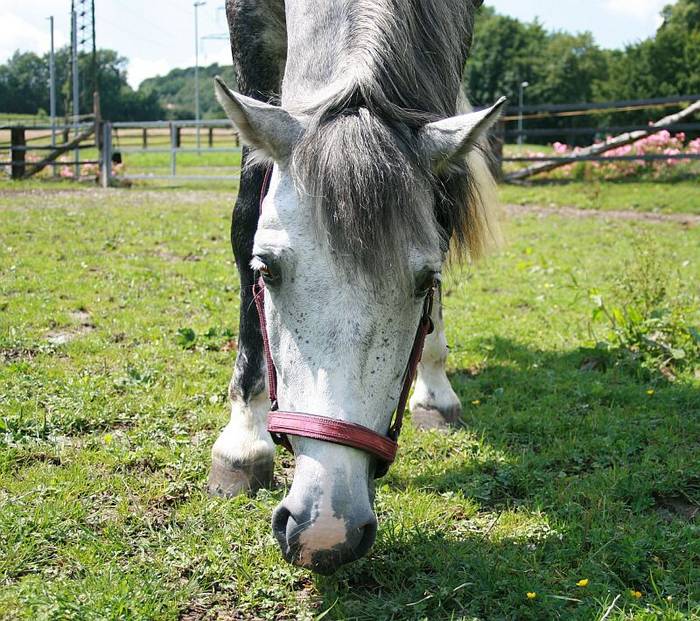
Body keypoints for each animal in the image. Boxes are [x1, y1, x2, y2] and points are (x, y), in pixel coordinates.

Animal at [208, 0, 504, 572]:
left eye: (428, 281)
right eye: (265, 270)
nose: (325, 530)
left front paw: (435, 386)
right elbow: (247, 206)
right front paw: (243, 440)